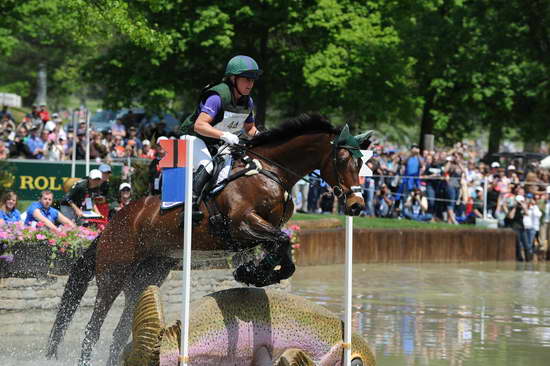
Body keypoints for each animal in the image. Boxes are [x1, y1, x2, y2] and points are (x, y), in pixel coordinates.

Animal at [45, 113, 374, 364]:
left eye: (361, 164)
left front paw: (254, 273)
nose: (356, 206)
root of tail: (113, 223)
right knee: (93, 327)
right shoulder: (242, 224)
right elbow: (280, 241)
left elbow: (283, 253)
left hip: (147, 274)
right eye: (342, 160)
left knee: (120, 330)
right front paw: (252, 272)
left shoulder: (256, 232)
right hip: (114, 273)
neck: (270, 172)